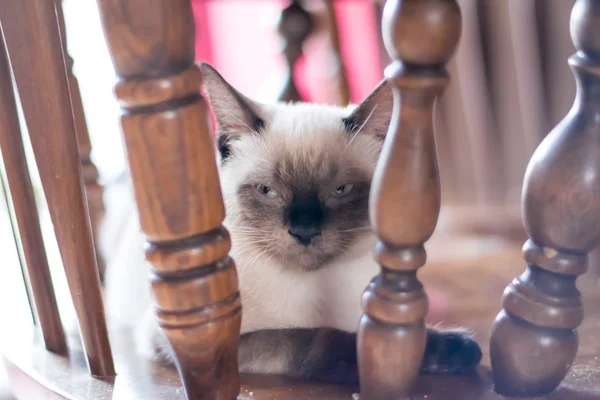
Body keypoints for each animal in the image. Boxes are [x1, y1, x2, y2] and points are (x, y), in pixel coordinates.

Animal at [101, 63, 480, 388]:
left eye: (341, 190)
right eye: (268, 191)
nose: (304, 232)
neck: (311, 291)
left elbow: (405, 329)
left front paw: (453, 350)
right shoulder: (197, 342)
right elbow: (312, 338)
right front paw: (377, 362)